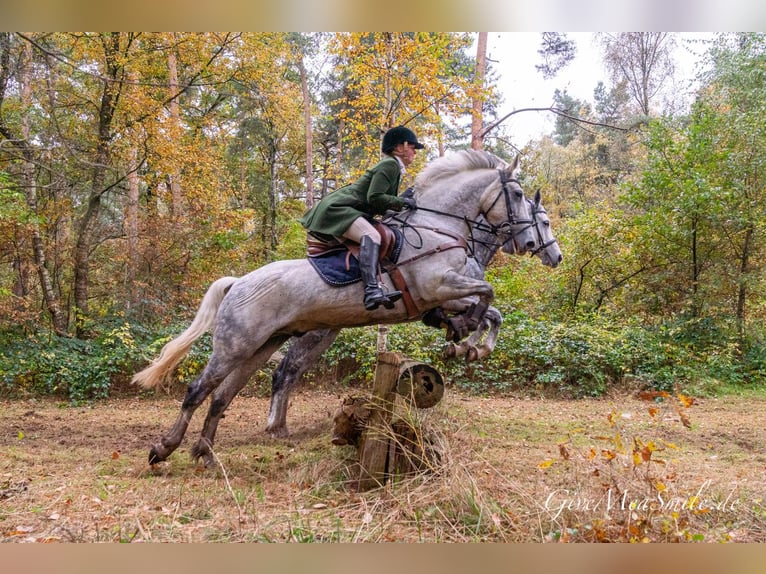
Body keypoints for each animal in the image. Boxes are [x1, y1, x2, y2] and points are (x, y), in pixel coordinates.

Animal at [134, 150, 542, 466]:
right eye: (518, 193)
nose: (531, 243)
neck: (438, 226)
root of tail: (239, 282)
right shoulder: (439, 286)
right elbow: (487, 294)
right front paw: (464, 333)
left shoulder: (446, 294)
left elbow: (491, 308)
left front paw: (468, 341)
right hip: (235, 345)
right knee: (199, 390)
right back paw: (164, 448)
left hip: (260, 345)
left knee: (222, 396)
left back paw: (205, 452)